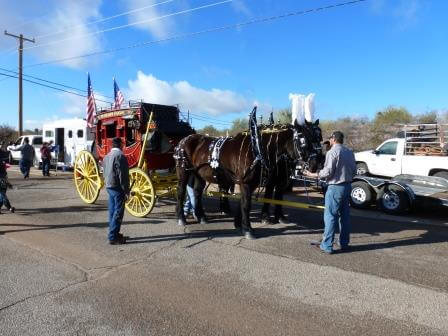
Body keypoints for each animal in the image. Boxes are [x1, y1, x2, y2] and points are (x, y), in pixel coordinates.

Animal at [174, 121, 322, 239]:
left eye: (317, 138)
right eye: (303, 140)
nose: (316, 164)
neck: (258, 150)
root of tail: (183, 140)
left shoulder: (255, 183)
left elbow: (246, 202)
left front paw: (239, 224)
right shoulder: (247, 183)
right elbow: (246, 205)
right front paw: (248, 229)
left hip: (199, 175)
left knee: (197, 193)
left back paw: (201, 217)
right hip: (184, 172)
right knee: (181, 192)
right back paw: (181, 218)